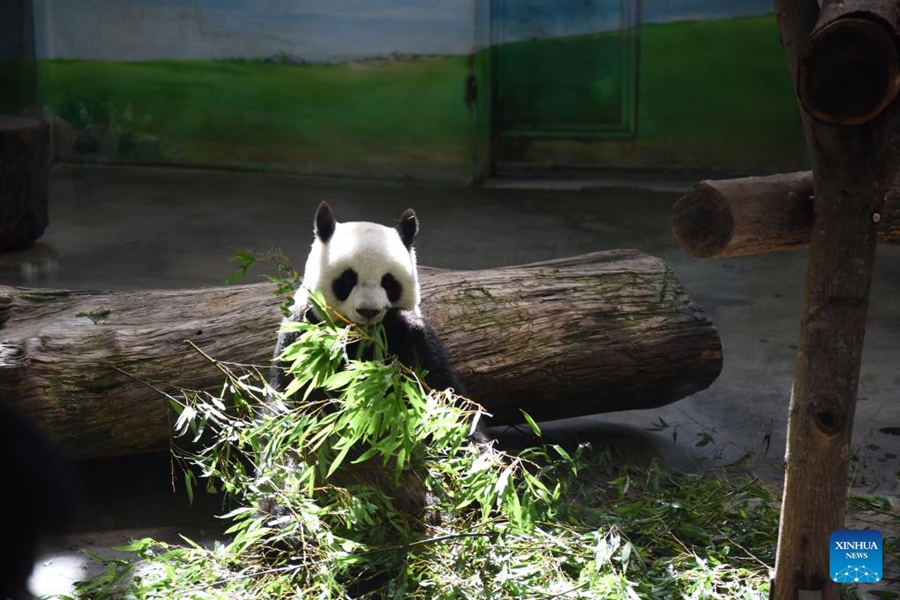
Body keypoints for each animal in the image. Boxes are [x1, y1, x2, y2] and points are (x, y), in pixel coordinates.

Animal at [268, 202, 492, 446]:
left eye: (389, 282)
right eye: (348, 279)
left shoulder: (423, 346)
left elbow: (441, 394)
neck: (363, 337)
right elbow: (300, 396)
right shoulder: (303, 334)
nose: (368, 311)